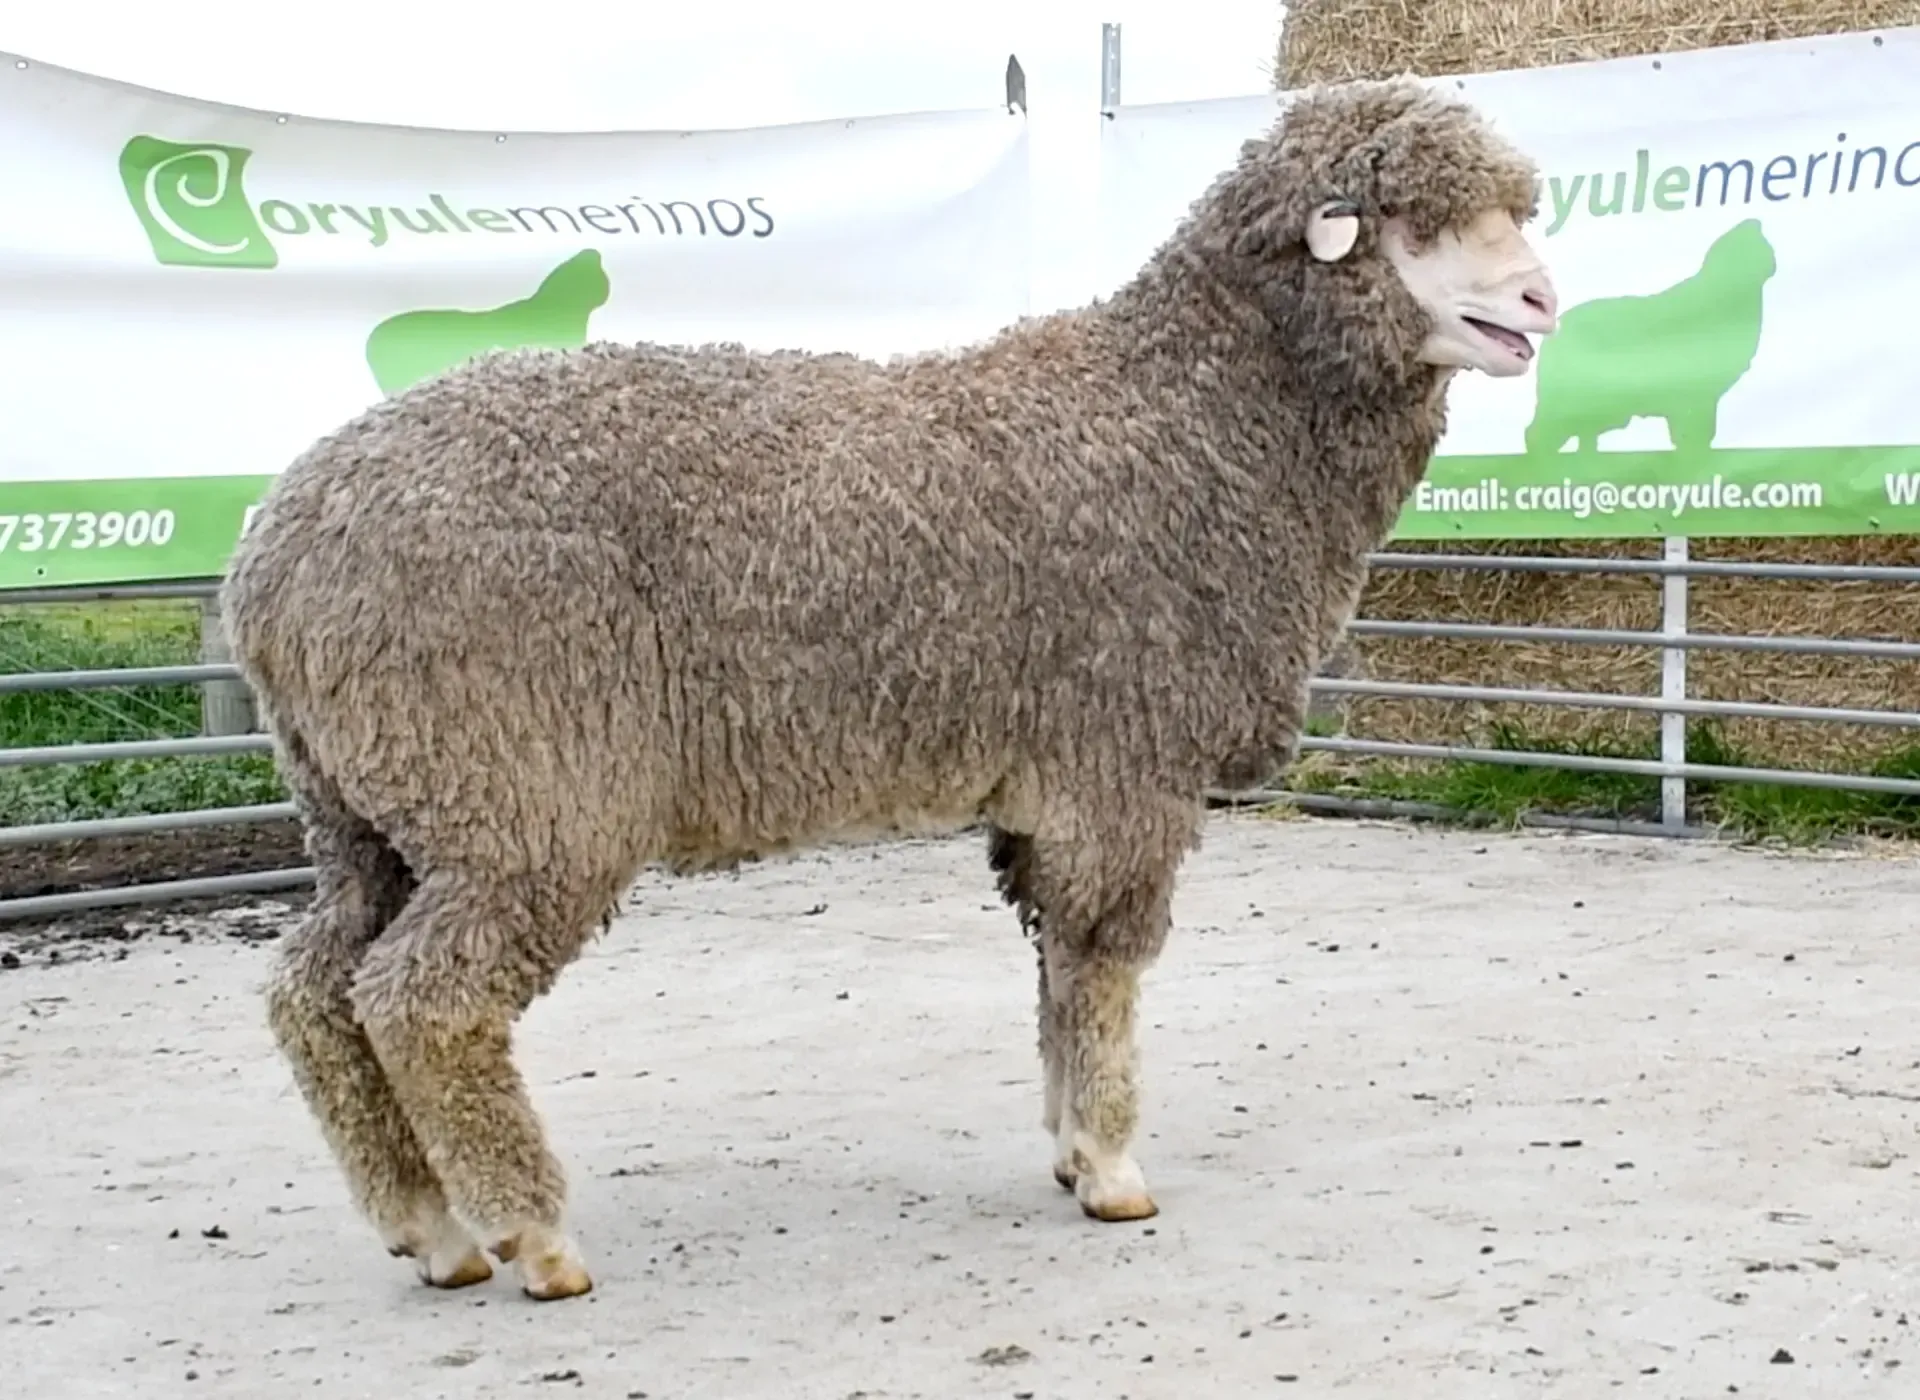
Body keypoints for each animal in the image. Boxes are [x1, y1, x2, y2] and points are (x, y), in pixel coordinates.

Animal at [220, 74, 1558, 1303]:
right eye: (1418, 223)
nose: (1543, 301)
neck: (1199, 423)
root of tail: (272, 555)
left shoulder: (1046, 794)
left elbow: (1057, 974)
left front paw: (1069, 1151)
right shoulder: (1122, 760)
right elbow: (1105, 964)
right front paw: (1115, 1171)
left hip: (373, 802)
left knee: (316, 990)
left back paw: (428, 1229)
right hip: (522, 789)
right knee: (420, 1000)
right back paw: (535, 1240)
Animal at [1523, 216, 1774, 456]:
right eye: (1750, 247)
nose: (1770, 260)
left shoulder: (1703, 395)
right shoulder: (1692, 393)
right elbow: (1691, 431)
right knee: (1538, 432)